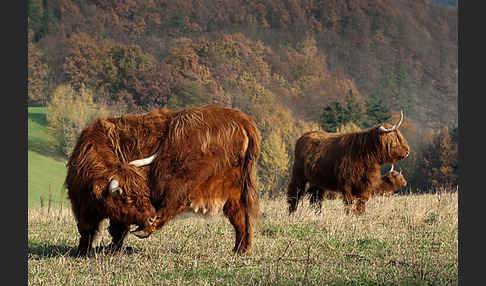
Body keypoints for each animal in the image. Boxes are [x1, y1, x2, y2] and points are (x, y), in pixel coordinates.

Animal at [127, 104, 260, 252]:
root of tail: (243, 120)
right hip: (235, 179)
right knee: (239, 211)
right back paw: (240, 249)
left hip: (188, 171)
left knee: (175, 197)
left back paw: (144, 229)